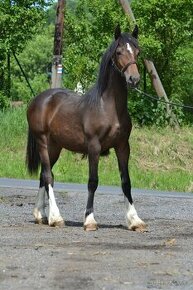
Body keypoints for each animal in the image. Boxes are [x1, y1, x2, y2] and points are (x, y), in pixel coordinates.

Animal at [25, 25, 146, 233]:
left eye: (137, 52)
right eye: (119, 52)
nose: (134, 79)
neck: (107, 107)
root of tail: (38, 100)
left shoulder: (123, 146)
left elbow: (126, 182)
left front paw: (135, 220)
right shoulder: (94, 147)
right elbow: (93, 181)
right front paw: (89, 220)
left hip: (54, 147)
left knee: (43, 175)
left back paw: (40, 214)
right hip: (42, 142)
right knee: (48, 176)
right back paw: (56, 217)